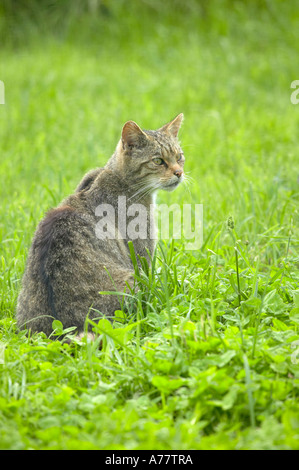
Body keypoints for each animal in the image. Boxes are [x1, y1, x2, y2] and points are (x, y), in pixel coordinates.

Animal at [16, 114, 186, 338]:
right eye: (158, 161)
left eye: (179, 156)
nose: (179, 172)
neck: (117, 177)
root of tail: (60, 332)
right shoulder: (142, 256)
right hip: (131, 285)